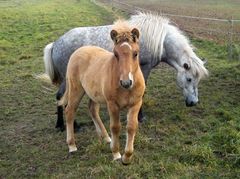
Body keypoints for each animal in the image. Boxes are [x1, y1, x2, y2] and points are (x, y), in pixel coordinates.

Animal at [41, 11, 208, 131]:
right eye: (189, 79)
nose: (193, 102)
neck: (160, 41)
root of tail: (56, 43)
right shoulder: (144, 68)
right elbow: (142, 92)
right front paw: (140, 117)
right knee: (63, 97)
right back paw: (66, 126)